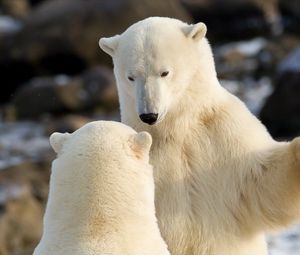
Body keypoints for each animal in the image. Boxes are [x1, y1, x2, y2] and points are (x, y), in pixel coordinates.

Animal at [99, 16, 300, 254]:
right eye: (131, 77)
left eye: (164, 72)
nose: (149, 115)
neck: (177, 127)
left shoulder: (225, 131)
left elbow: (263, 181)